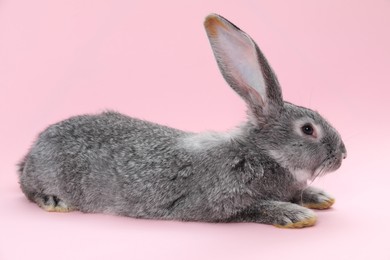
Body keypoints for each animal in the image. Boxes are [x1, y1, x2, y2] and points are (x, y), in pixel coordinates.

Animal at [18, 13, 348, 228]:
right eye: (308, 129)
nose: (343, 154)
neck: (262, 153)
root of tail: (31, 153)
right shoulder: (219, 203)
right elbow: (256, 208)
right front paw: (295, 215)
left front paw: (319, 197)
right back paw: (54, 201)